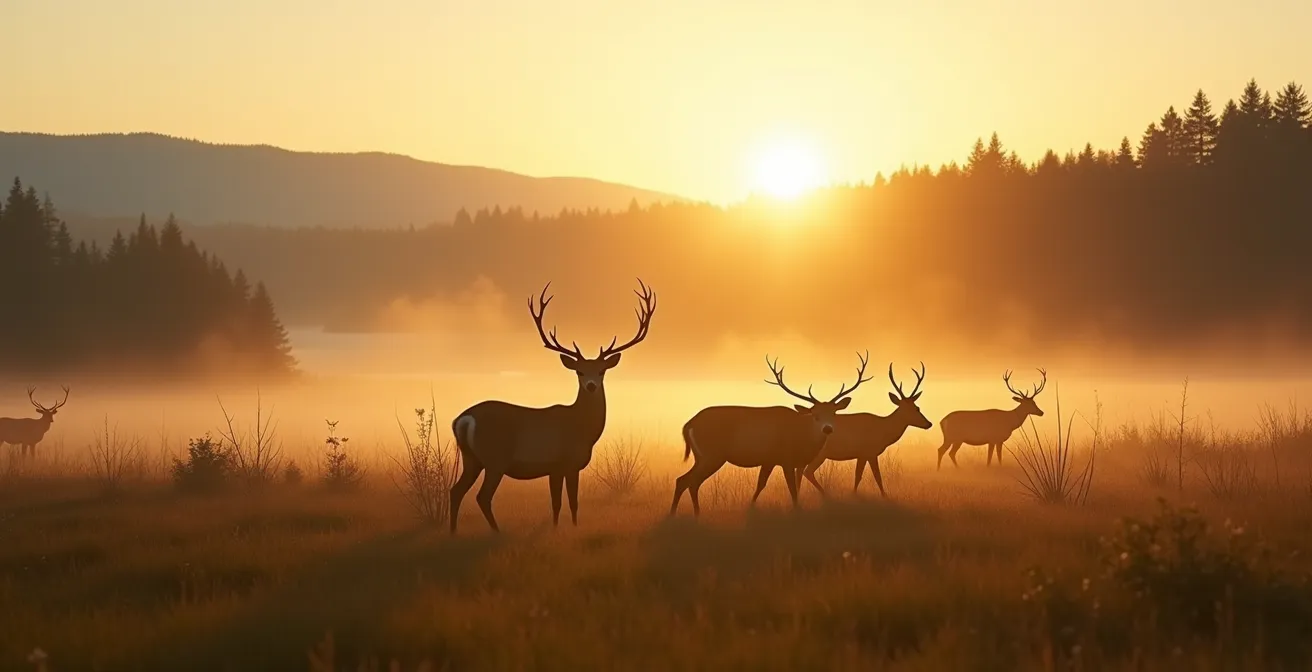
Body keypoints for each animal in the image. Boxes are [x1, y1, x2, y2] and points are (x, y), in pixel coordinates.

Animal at [449, 279, 656, 534]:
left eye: (601, 371)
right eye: (579, 372)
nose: (590, 385)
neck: (583, 430)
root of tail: (464, 419)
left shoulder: (554, 469)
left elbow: (556, 503)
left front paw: (557, 528)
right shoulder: (568, 463)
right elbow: (572, 502)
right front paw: (573, 528)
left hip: (471, 459)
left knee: (456, 491)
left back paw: (453, 532)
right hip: (495, 458)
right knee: (482, 496)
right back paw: (496, 532)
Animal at [669, 351, 872, 517]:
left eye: (834, 413)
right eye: (815, 415)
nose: (827, 428)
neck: (801, 439)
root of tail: (689, 424)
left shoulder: (771, 460)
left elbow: (763, 484)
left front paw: (751, 506)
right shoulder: (785, 458)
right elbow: (791, 488)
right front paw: (796, 510)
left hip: (703, 456)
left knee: (689, 481)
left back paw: (693, 514)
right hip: (712, 454)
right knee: (686, 480)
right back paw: (678, 515)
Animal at [800, 362, 932, 498]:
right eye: (916, 408)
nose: (929, 423)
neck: (883, 431)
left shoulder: (862, 454)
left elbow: (859, 475)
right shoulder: (868, 451)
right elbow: (874, 476)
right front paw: (882, 495)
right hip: (819, 453)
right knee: (807, 471)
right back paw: (825, 494)